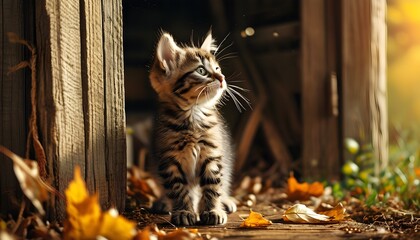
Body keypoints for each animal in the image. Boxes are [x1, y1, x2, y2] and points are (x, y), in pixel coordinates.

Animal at [149, 31, 238, 225]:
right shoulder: (169, 160)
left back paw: (225, 201)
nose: (222, 78)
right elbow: (178, 189)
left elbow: (213, 185)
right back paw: (164, 203)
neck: (193, 115)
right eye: (201, 71)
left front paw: (213, 210)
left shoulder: (212, 154)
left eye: (218, 69)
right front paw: (183, 211)